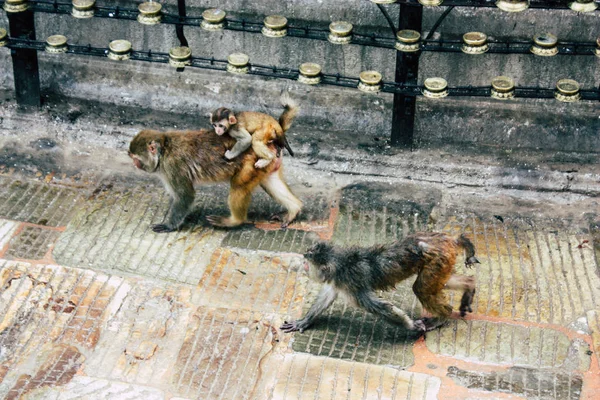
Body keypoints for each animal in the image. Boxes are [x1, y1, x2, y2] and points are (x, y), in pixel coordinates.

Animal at [128, 128, 302, 233]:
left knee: (239, 185)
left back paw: (234, 221)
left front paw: (169, 225)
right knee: (269, 182)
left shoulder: (172, 167)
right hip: (265, 165)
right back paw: (294, 209)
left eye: (136, 158)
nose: (134, 164)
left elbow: (185, 196)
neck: (164, 150)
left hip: (251, 162)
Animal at [282, 231, 478, 334]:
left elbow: (381, 307)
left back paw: (444, 315)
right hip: (444, 259)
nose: (303, 265)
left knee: (420, 288)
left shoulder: (351, 284)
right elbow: (327, 296)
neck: (341, 263)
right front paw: (304, 322)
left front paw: (411, 326)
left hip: (439, 257)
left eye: (307, 263)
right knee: (437, 282)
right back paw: (469, 285)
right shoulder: (338, 281)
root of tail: (449, 239)